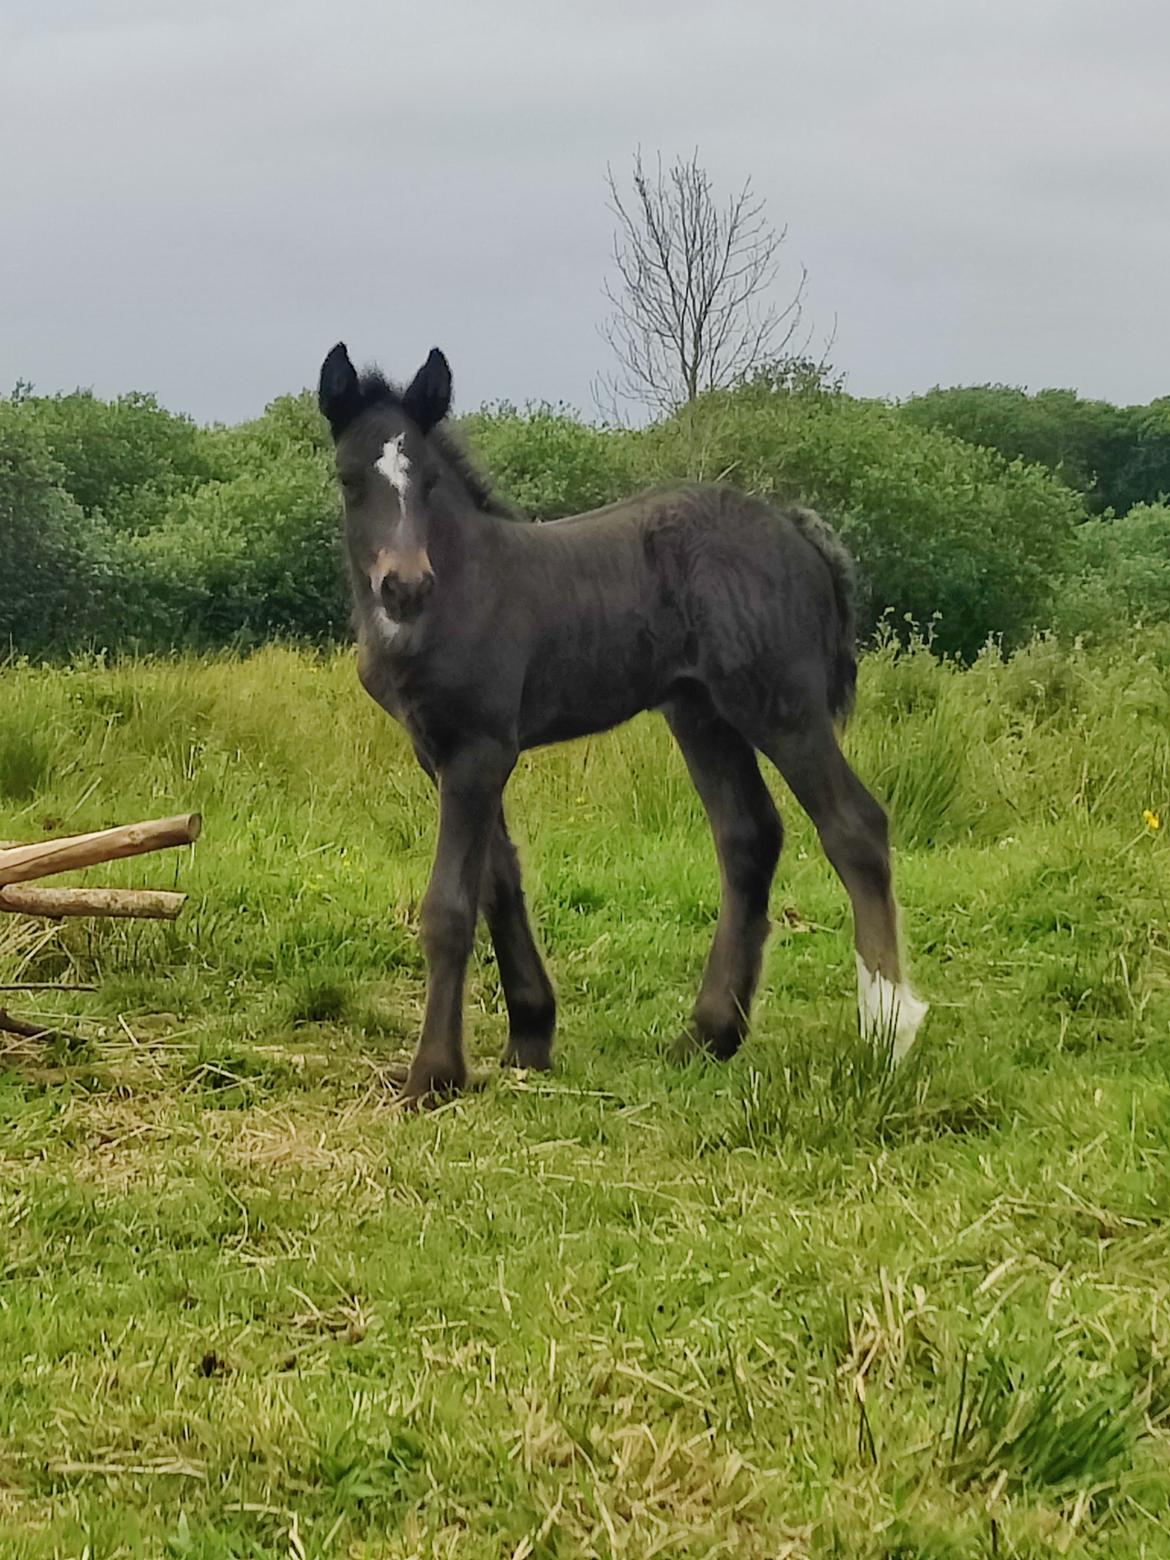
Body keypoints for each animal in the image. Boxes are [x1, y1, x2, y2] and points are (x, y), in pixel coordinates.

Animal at [316, 344, 929, 1098]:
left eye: (428, 480)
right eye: (349, 479)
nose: (404, 586)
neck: (461, 590)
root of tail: (795, 528)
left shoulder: (481, 749)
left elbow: (451, 906)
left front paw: (433, 1075)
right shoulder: (441, 751)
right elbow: (498, 880)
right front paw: (530, 1034)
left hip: (780, 704)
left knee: (854, 827)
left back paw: (889, 1030)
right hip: (700, 712)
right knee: (747, 836)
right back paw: (708, 1034)